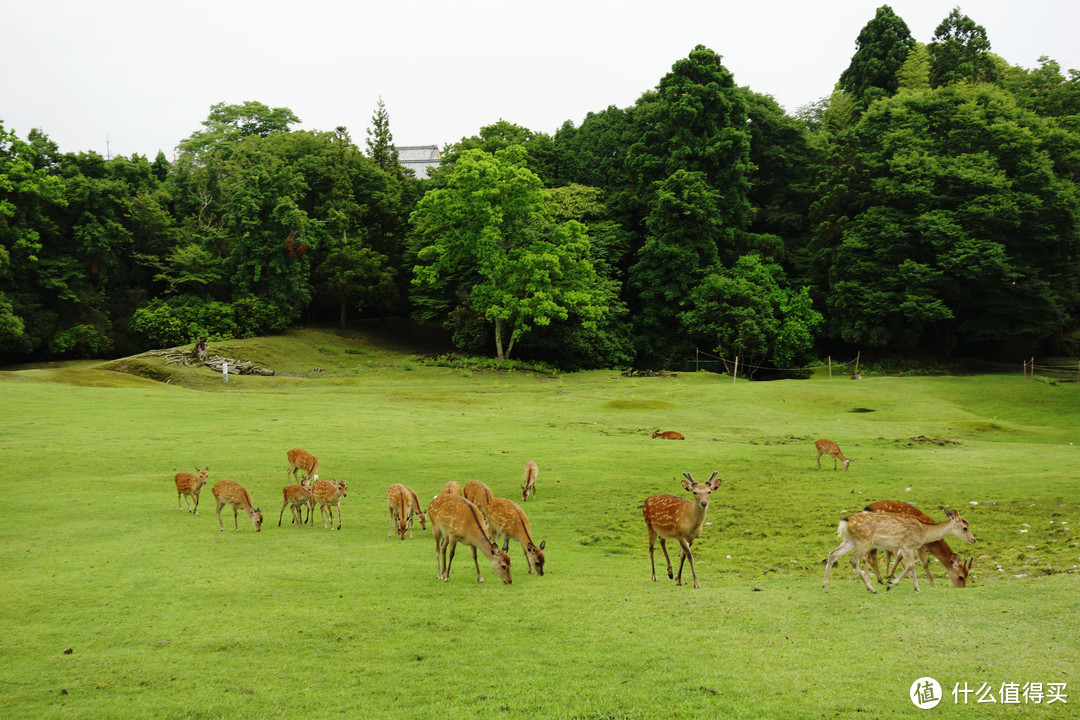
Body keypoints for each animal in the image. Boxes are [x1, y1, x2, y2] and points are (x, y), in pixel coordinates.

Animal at [825, 507, 980, 591]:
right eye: (965, 528)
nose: (973, 539)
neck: (924, 531)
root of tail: (843, 522)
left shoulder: (907, 547)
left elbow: (911, 565)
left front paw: (915, 588)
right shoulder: (907, 545)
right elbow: (911, 565)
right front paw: (892, 584)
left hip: (849, 541)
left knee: (832, 554)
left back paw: (825, 587)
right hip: (864, 541)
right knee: (854, 560)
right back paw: (871, 588)